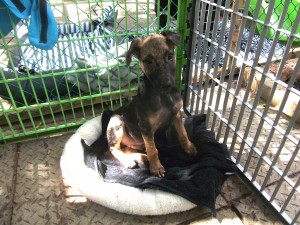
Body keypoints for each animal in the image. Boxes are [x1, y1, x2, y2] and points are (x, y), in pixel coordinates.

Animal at [106, 30, 197, 177]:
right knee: (113, 148)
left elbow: (183, 133)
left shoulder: (177, 115)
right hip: (117, 122)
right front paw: (156, 168)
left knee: (126, 149)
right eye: (148, 61)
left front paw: (188, 147)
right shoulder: (146, 128)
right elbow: (153, 150)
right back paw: (129, 160)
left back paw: (141, 157)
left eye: (170, 56)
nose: (167, 85)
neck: (163, 96)